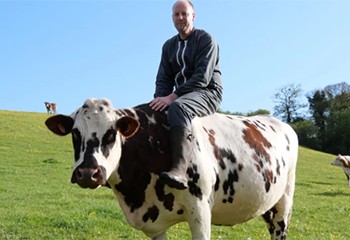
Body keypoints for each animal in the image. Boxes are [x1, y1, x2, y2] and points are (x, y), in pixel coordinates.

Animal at [45, 98, 300, 240]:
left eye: (111, 134)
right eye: (75, 134)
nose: (88, 173)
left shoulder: (200, 210)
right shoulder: (155, 224)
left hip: (284, 202)